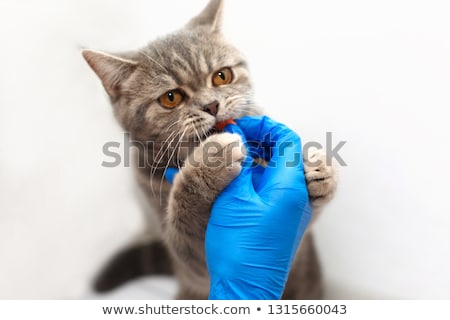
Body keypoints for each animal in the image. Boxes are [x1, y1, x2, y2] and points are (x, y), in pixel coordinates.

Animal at [82, 0, 338, 300]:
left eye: (222, 76)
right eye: (171, 98)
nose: (212, 105)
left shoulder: (301, 240)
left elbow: (304, 217)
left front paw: (319, 168)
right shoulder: (193, 262)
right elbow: (186, 220)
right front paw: (211, 159)